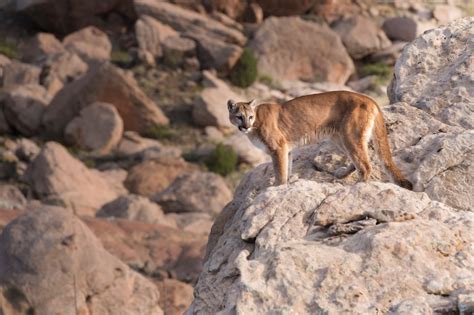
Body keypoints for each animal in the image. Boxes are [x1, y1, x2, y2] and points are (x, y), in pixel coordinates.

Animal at [228, 91, 412, 190]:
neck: (256, 122)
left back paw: (356, 187)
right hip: (339, 137)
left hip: (350, 135)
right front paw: (286, 184)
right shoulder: (286, 149)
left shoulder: (278, 148)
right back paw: (342, 173)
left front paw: (277, 188)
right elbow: (287, 169)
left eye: (250, 117)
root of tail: (369, 98)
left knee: (365, 165)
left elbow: (280, 172)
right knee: (360, 159)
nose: (245, 126)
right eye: (239, 117)